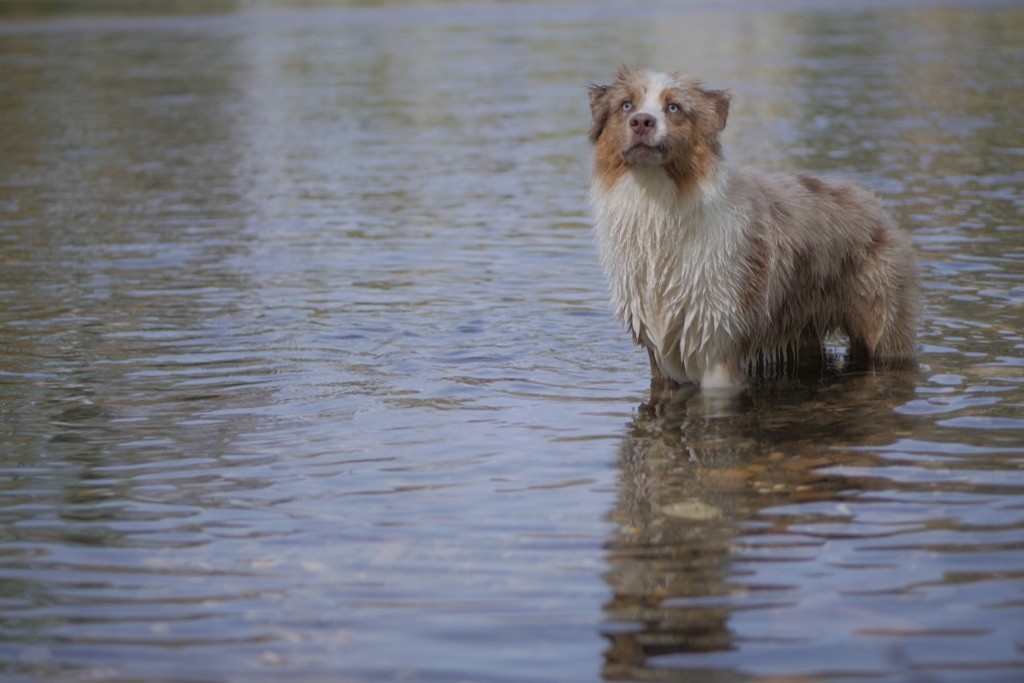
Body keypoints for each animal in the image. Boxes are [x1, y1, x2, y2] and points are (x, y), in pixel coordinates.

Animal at [585, 69, 921, 389]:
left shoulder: (717, 342)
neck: (659, 203)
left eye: (673, 107)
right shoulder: (657, 350)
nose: (641, 121)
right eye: (626, 105)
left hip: (882, 323)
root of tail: (870, 199)